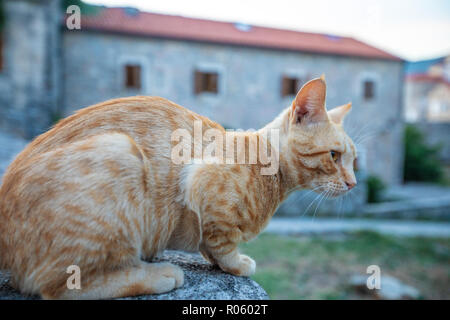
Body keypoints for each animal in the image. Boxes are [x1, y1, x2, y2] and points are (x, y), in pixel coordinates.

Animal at [0, 76, 358, 298]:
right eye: (334, 155)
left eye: (355, 160)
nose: (353, 183)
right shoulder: (203, 185)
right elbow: (220, 242)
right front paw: (237, 263)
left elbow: (210, 244)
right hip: (120, 150)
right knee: (59, 285)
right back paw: (157, 274)